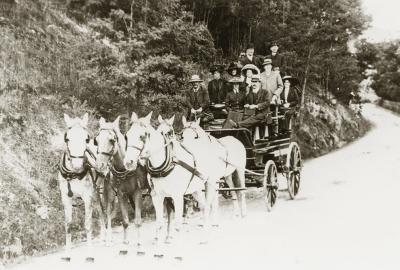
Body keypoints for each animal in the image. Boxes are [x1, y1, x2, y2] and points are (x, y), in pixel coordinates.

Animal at [124, 112, 219, 260]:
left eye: (142, 136)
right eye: (127, 135)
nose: (128, 162)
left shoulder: (178, 196)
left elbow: (178, 224)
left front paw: (178, 254)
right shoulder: (157, 197)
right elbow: (159, 224)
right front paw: (158, 251)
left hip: (210, 183)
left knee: (209, 206)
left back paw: (209, 234)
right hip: (196, 189)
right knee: (204, 208)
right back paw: (204, 237)